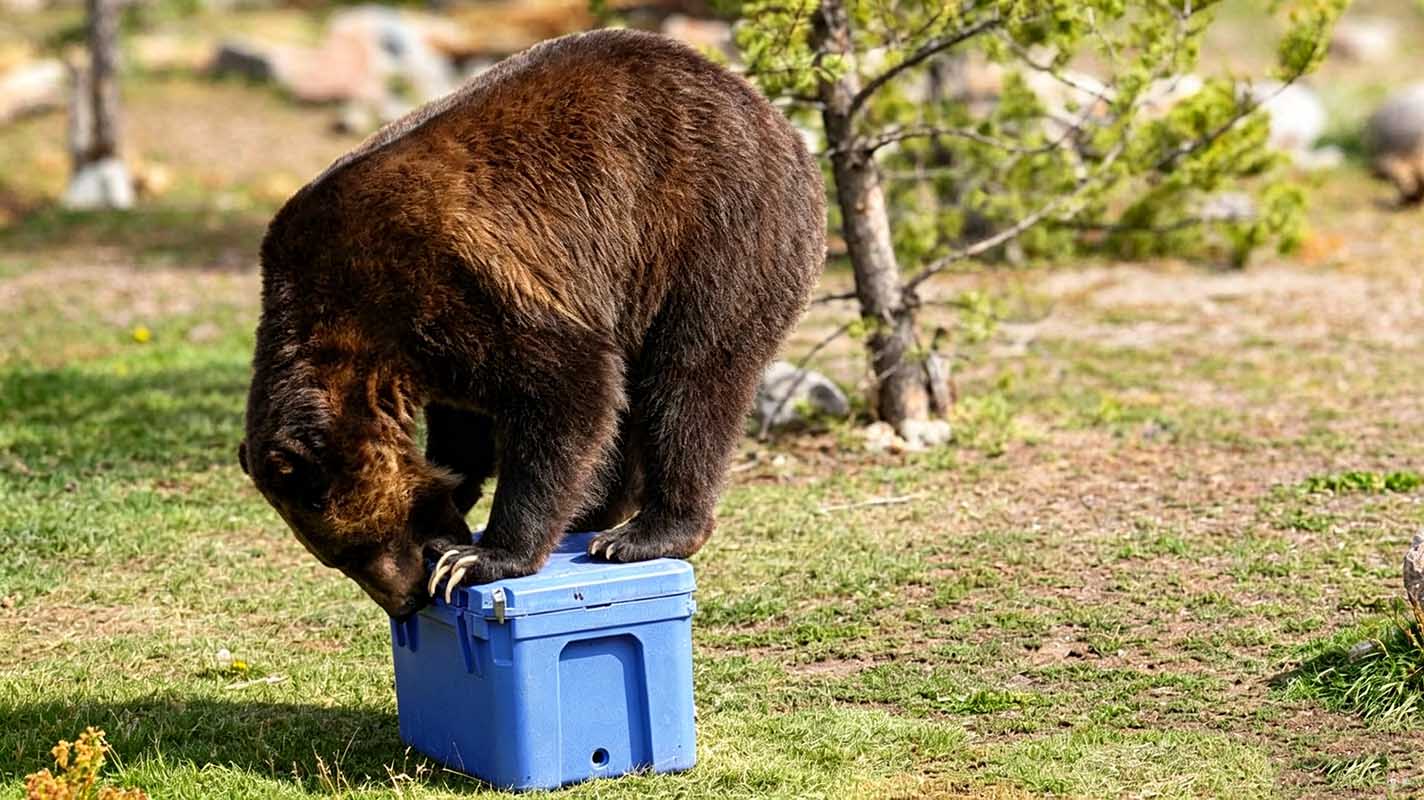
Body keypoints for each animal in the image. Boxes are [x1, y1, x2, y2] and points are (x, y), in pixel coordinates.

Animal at [239, 28, 826, 617]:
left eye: (358, 547)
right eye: (338, 558)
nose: (405, 601)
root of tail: (772, 115)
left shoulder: (448, 283)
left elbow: (567, 386)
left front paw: (476, 558)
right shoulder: (428, 349)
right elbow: (465, 417)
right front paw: (457, 487)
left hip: (708, 234)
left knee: (691, 383)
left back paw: (639, 534)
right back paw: (592, 515)